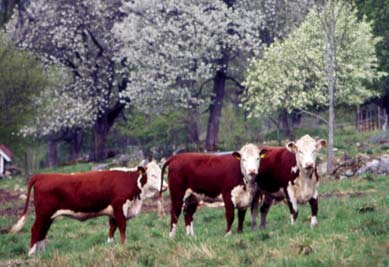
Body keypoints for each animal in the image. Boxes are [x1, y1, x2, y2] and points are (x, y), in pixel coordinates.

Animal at [9, 162, 161, 256]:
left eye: (161, 174)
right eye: (153, 175)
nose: (164, 186)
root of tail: (42, 176)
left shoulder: (113, 212)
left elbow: (112, 228)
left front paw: (110, 245)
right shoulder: (119, 208)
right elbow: (122, 227)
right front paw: (124, 245)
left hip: (49, 216)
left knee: (43, 231)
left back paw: (42, 253)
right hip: (43, 213)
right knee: (35, 229)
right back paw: (31, 253)